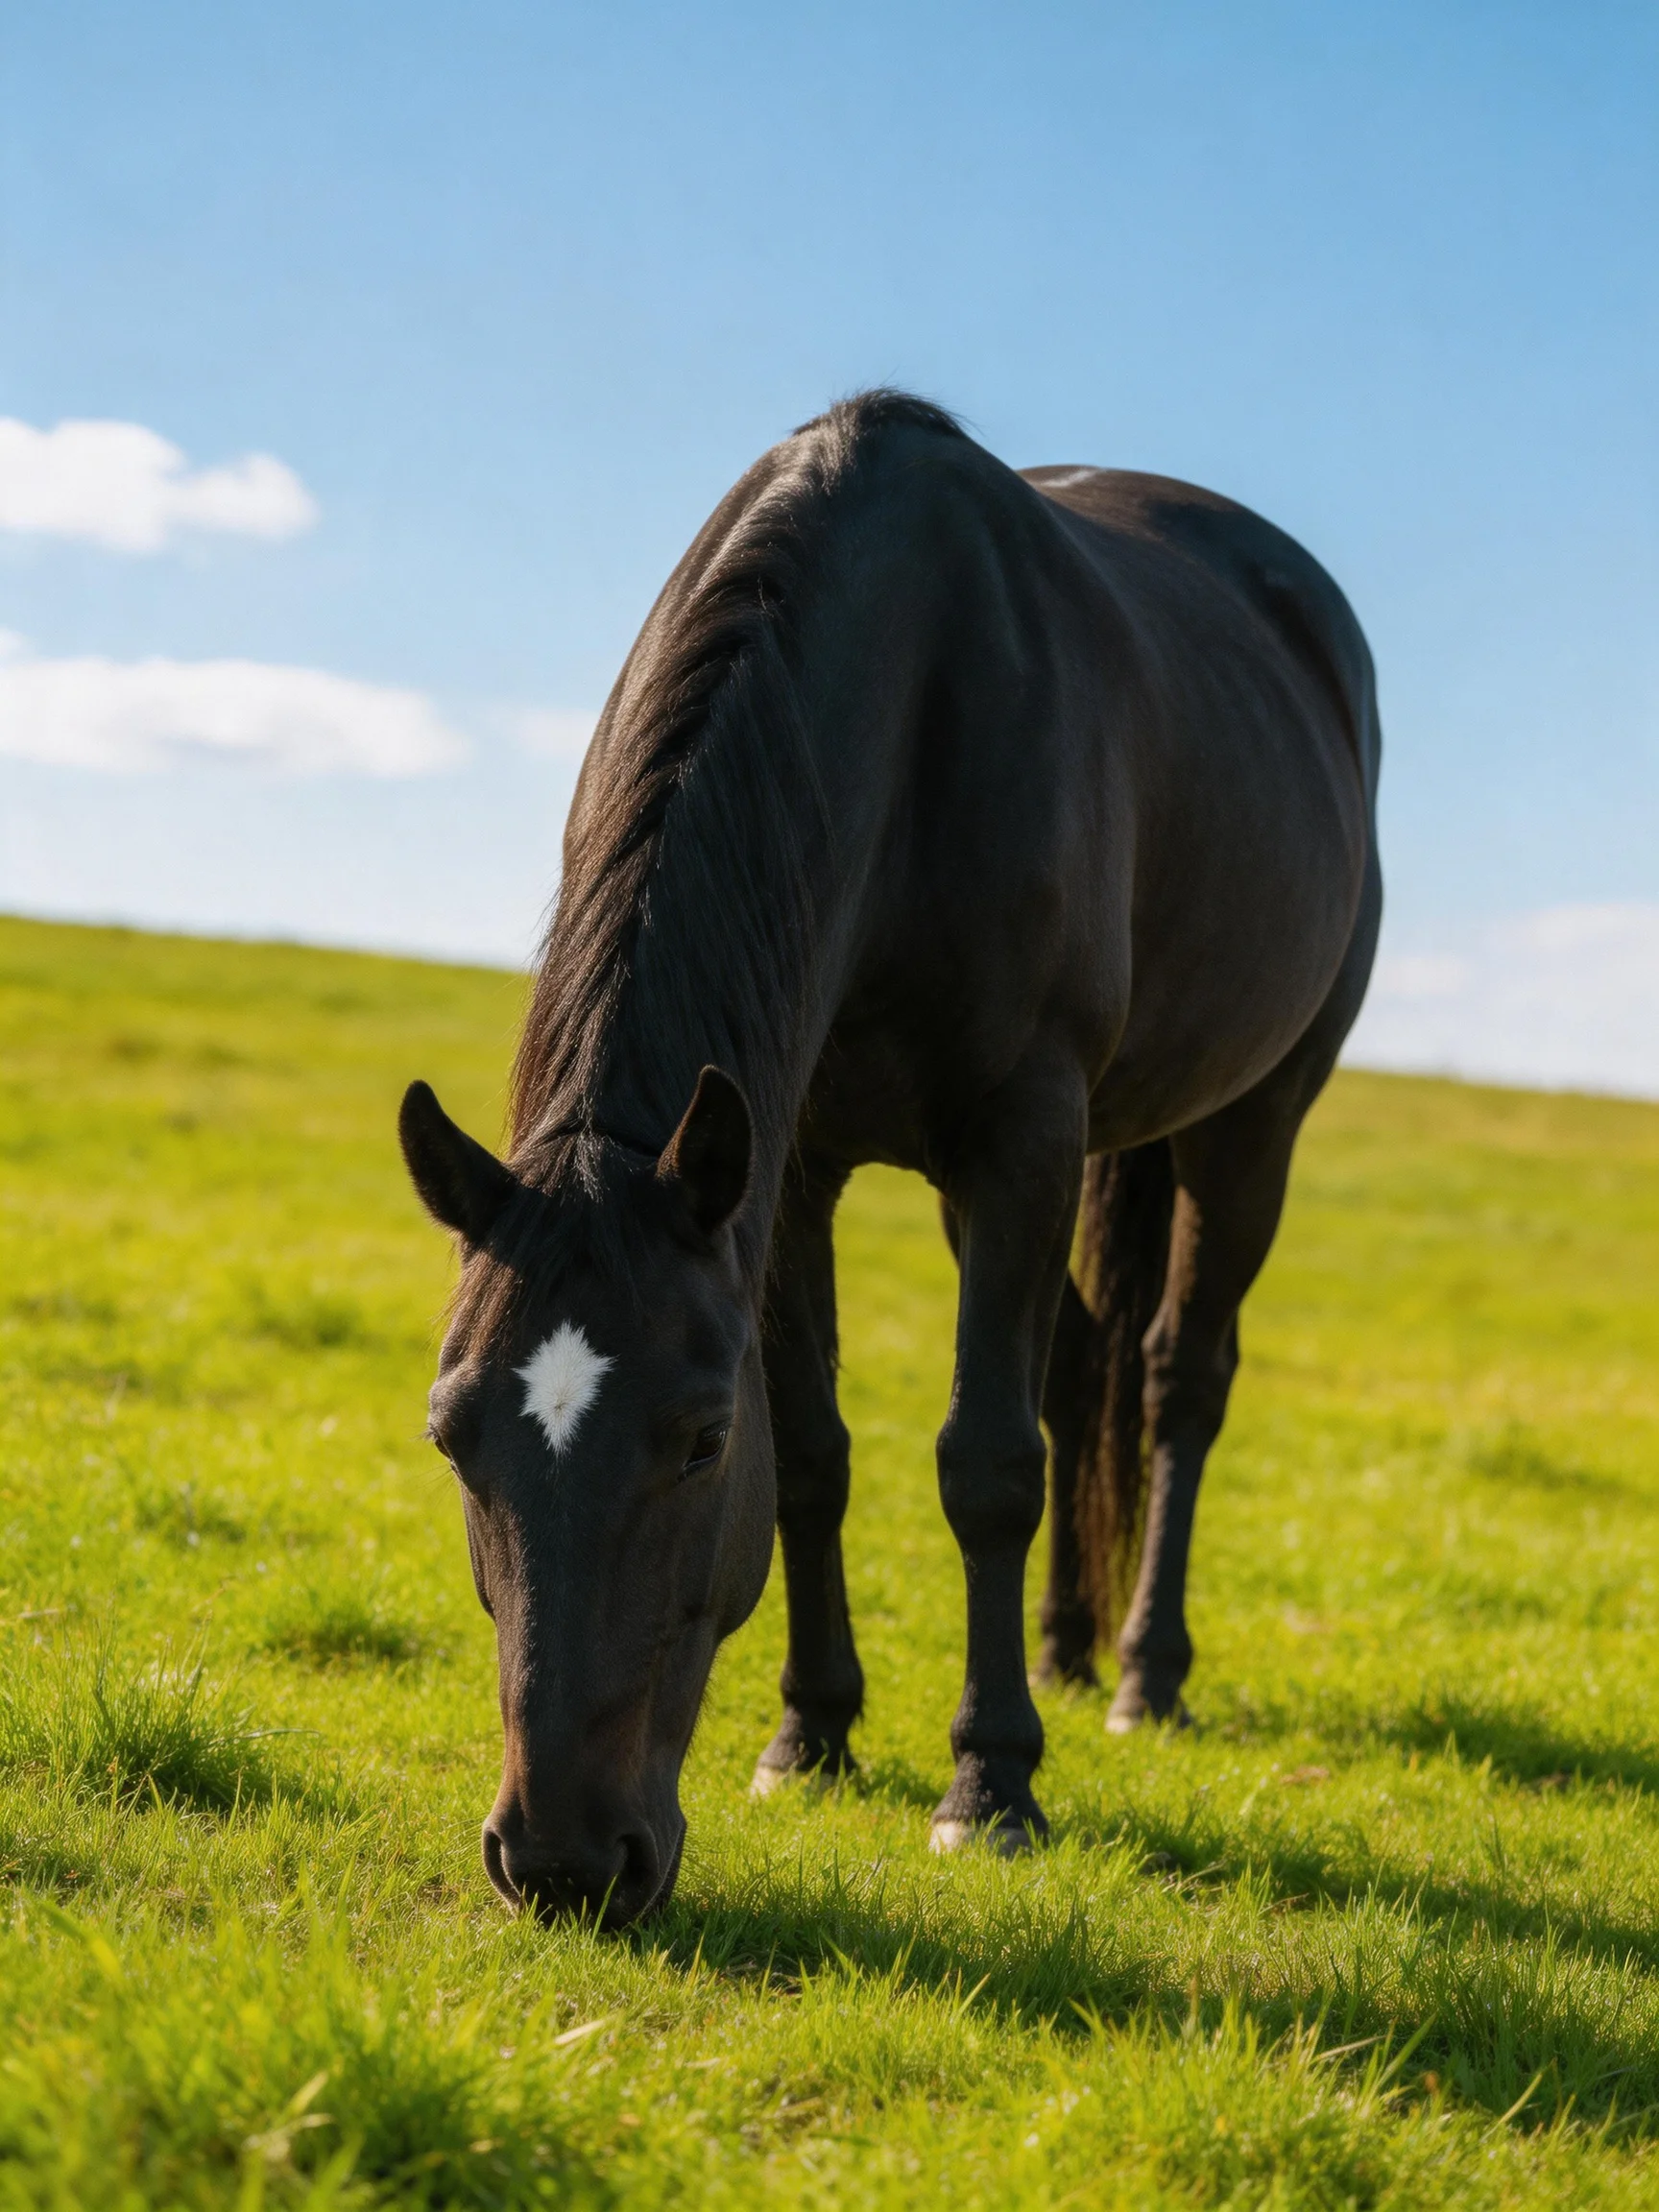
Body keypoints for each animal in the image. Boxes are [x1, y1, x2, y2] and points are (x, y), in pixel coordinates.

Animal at [400, 391, 1381, 1925]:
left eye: (700, 1441)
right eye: (453, 1435)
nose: (560, 1864)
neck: (910, 710)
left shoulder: (1021, 1133)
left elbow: (986, 1463)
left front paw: (990, 1787)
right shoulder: (783, 1162)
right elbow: (818, 1455)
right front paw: (810, 1734)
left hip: (1248, 1123)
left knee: (1178, 1377)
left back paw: (1142, 1675)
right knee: (1082, 1365)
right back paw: (1064, 1646)